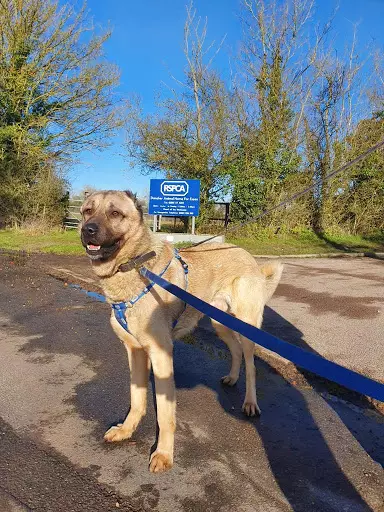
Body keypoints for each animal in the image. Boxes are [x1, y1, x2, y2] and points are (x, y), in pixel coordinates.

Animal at [79, 191, 284, 472]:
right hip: (220, 323)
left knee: (251, 365)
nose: (87, 230)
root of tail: (247, 255)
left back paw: (250, 403)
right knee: (235, 351)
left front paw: (164, 454)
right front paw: (127, 430)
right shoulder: (135, 351)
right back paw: (232, 378)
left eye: (115, 214)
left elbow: (166, 415)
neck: (134, 266)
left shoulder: (161, 354)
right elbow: (137, 398)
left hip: (246, 326)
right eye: (87, 211)